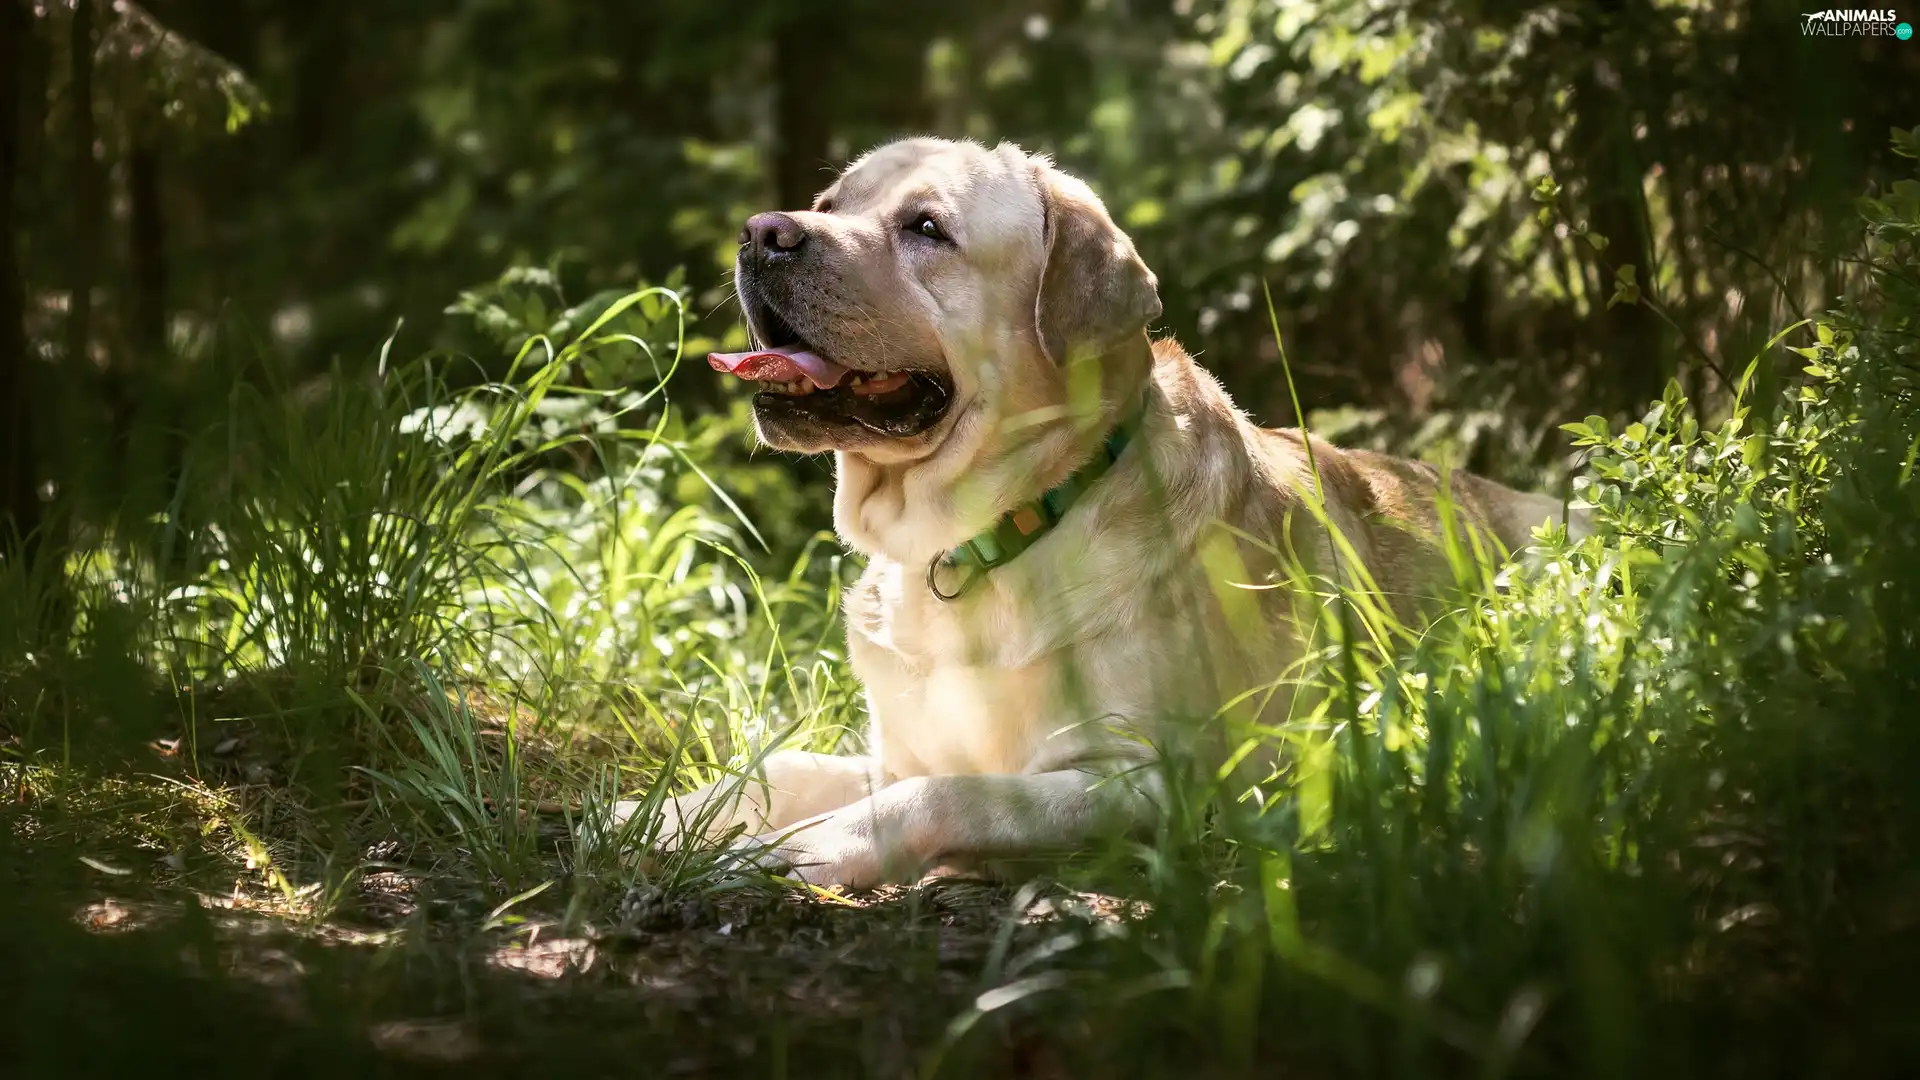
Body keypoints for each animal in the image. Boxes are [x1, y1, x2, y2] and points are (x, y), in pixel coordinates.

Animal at [618, 138, 1589, 887]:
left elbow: (945, 794)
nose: (763, 233)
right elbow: (777, 767)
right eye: (827, 204)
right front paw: (646, 815)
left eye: (926, 228)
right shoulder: (892, 751)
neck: (978, 540)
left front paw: (795, 849)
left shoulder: (1157, 783)